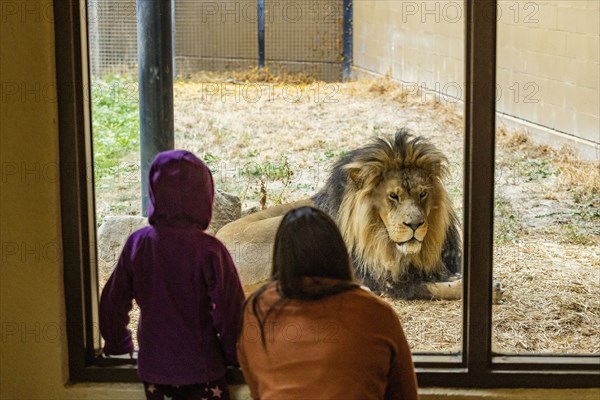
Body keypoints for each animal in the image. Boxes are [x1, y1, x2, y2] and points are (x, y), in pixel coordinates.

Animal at [216, 130, 502, 302]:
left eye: (422, 194)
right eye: (393, 196)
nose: (415, 224)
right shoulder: (385, 280)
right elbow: (426, 287)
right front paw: (484, 290)